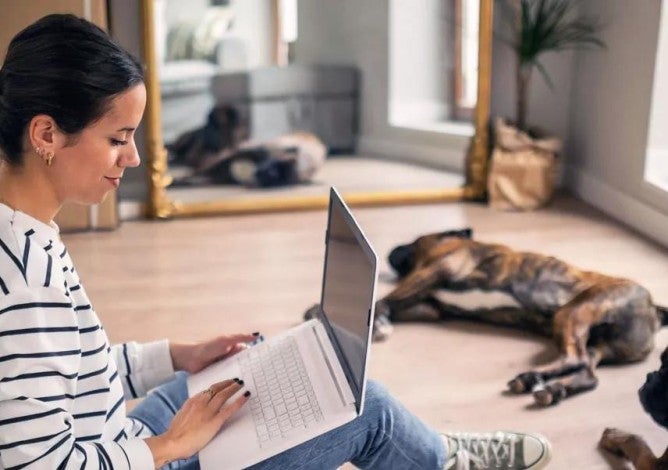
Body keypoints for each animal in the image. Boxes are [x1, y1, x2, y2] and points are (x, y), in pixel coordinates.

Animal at [374, 229, 664, 406]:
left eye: (413, 241)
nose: (390, 251)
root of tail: (655, 310)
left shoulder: (435, 269)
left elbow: (383, 301)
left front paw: (377, 323)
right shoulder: (431, 307)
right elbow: (390, 305)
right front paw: (381, 322)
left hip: (573, 313)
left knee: (576, 359)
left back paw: (534, 378)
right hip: (599, 345)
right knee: (589, 373)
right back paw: (547, 387)